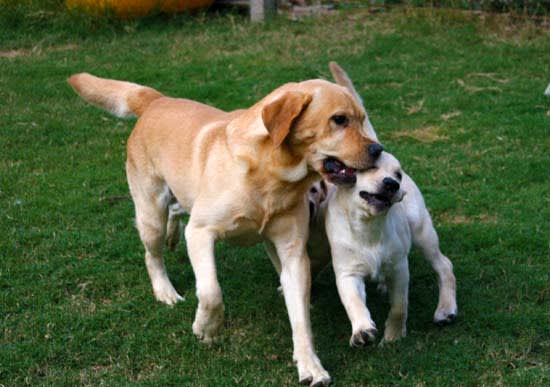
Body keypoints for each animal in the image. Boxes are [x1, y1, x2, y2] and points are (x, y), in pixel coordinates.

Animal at [68, 72, 380, 384]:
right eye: (339, 119)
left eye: (363, 118)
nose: (378, 149)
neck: (270, 174)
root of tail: (156, 100)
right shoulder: (200, 232)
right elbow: (210, 292)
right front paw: (206, 327)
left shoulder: (293, 254)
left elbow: (301, 319)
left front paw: (310, 365)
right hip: (150, 212)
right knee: (152, 254)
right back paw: (165, 290)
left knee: (175, 210)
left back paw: (172, 237)